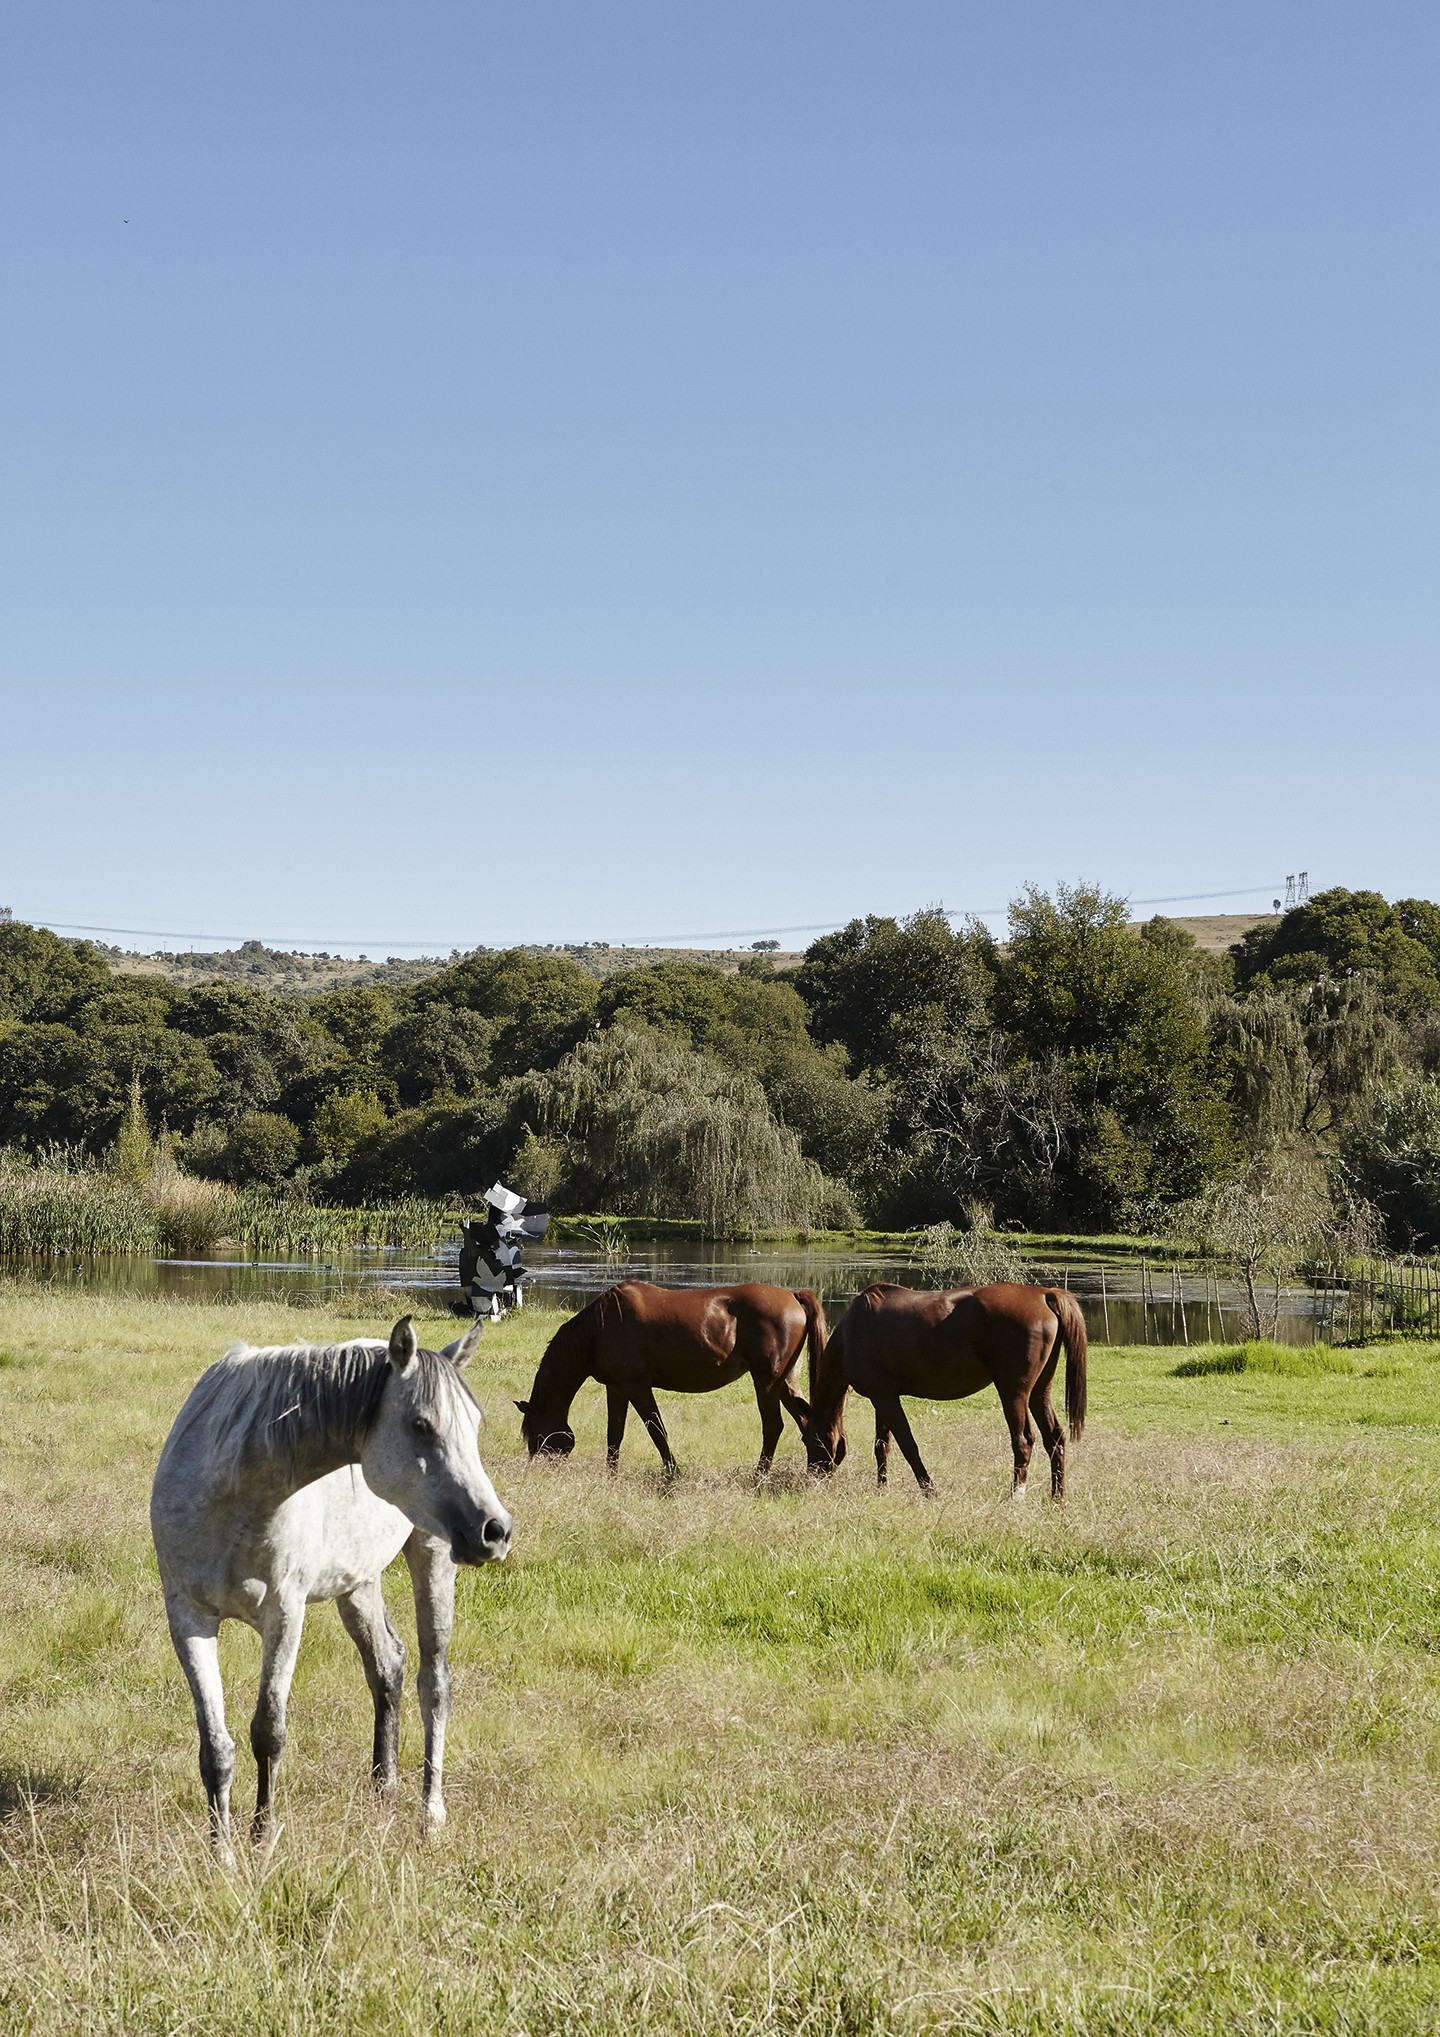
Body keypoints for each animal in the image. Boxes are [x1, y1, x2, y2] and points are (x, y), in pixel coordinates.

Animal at [150, 1319, 513, 1865]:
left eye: (475, 1424)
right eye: (421, 1425)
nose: (496, 1530)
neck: (231, 1492)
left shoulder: (285, 1615)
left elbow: (268, 1732)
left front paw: (262, 1841)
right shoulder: (188, 1618)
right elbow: (215, 1747)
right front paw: (221, 1856)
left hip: (433, 1556)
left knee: (434, 1682)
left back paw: (430, 1816)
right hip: (357, 1583)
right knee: (388, 1665)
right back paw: (383, 1789)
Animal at [513, 1279, 843, 1474]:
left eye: (538, 1437)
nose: (538, 1470)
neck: (600, 1327)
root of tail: (793, 1295)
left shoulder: (637, 1387)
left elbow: (656, 1430)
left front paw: (672, 1474)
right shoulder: (616, 1388)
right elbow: (614, 1436)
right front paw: (611, 1476)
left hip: (767, 1382)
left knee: (773, 1426)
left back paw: (758, 1476)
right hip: (786, 1381)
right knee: (806, 1420)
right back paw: (819, 1466)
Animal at [810, 1287, 1091, 1499]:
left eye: (809, 1439)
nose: (813, 1475)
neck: (853, 1330)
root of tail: (1043, 1294)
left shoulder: (886, 1398)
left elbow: (908, 1445)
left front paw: (929, 1490)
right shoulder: (881, 1398)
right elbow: (882, 1446)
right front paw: (882, 1488)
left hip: (1014, 1392)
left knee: (1023, 1441)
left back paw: (1016, 1496)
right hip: (1040, 1390)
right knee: (1054, 1438)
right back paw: (1057, 1498)